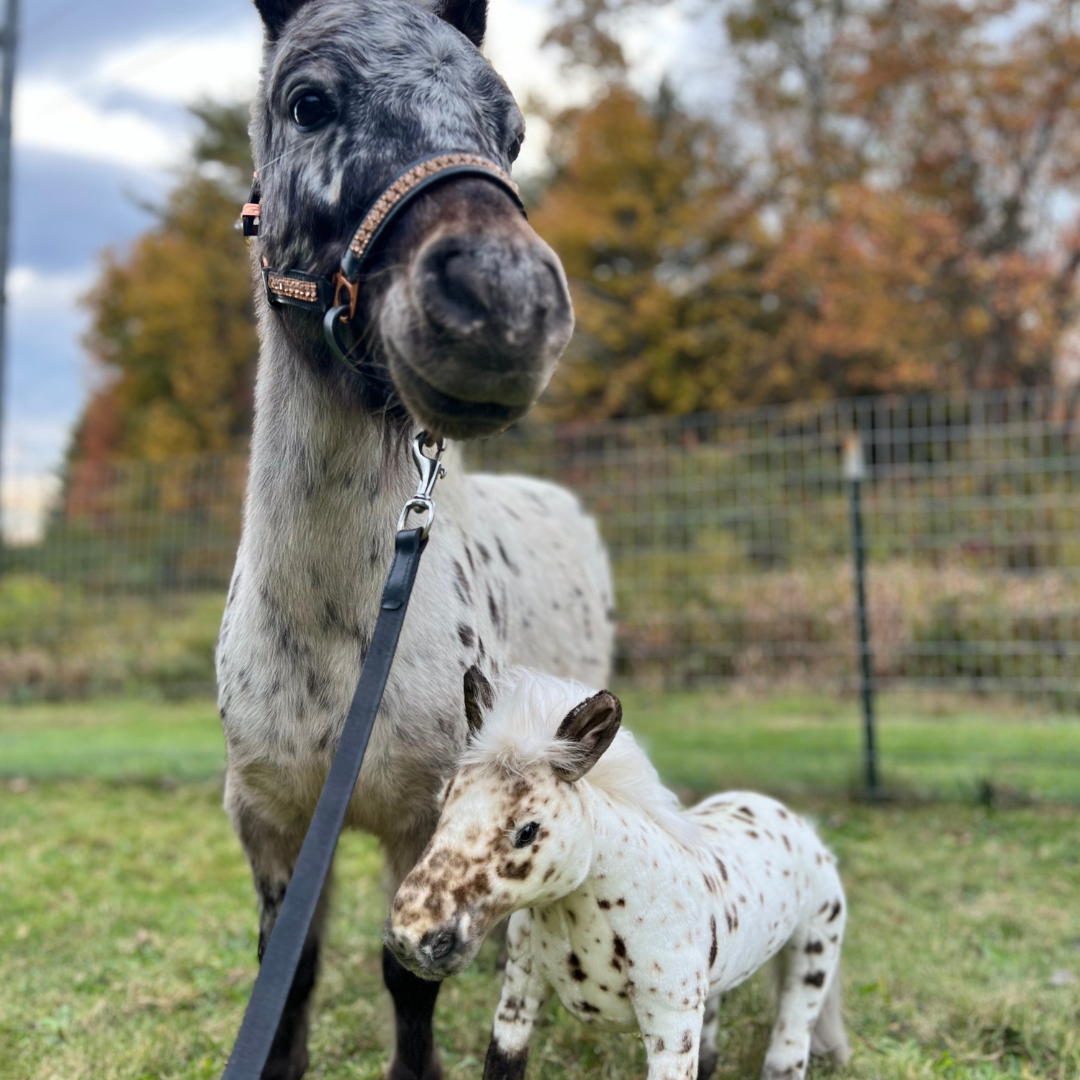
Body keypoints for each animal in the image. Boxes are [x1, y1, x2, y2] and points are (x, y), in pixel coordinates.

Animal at [214, 4, 613, 1075]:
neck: (339, 629)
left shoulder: (424, 814)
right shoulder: (271, 822)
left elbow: (411, 977)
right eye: (308, 102)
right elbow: (289, 977)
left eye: (511, 129)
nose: (505, 304)